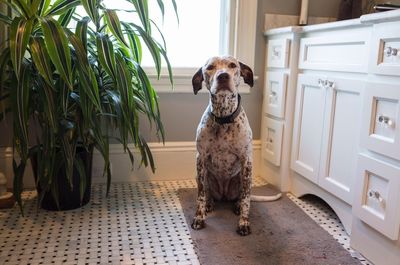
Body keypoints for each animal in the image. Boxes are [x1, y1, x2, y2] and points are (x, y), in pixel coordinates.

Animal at [191, 55, 282, 235]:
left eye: (233, 65)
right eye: (210, 67)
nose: (223, 76)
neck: (224, 118)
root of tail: (224, 195)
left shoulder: (246, 161)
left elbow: (246, 198)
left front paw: (244, 222)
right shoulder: (200, 159)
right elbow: (201, 196)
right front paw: (199, 217)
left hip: (243, 178)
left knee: (242, 196)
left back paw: (238, 206)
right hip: (202, 176)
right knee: (207, 192)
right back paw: (210, 204)